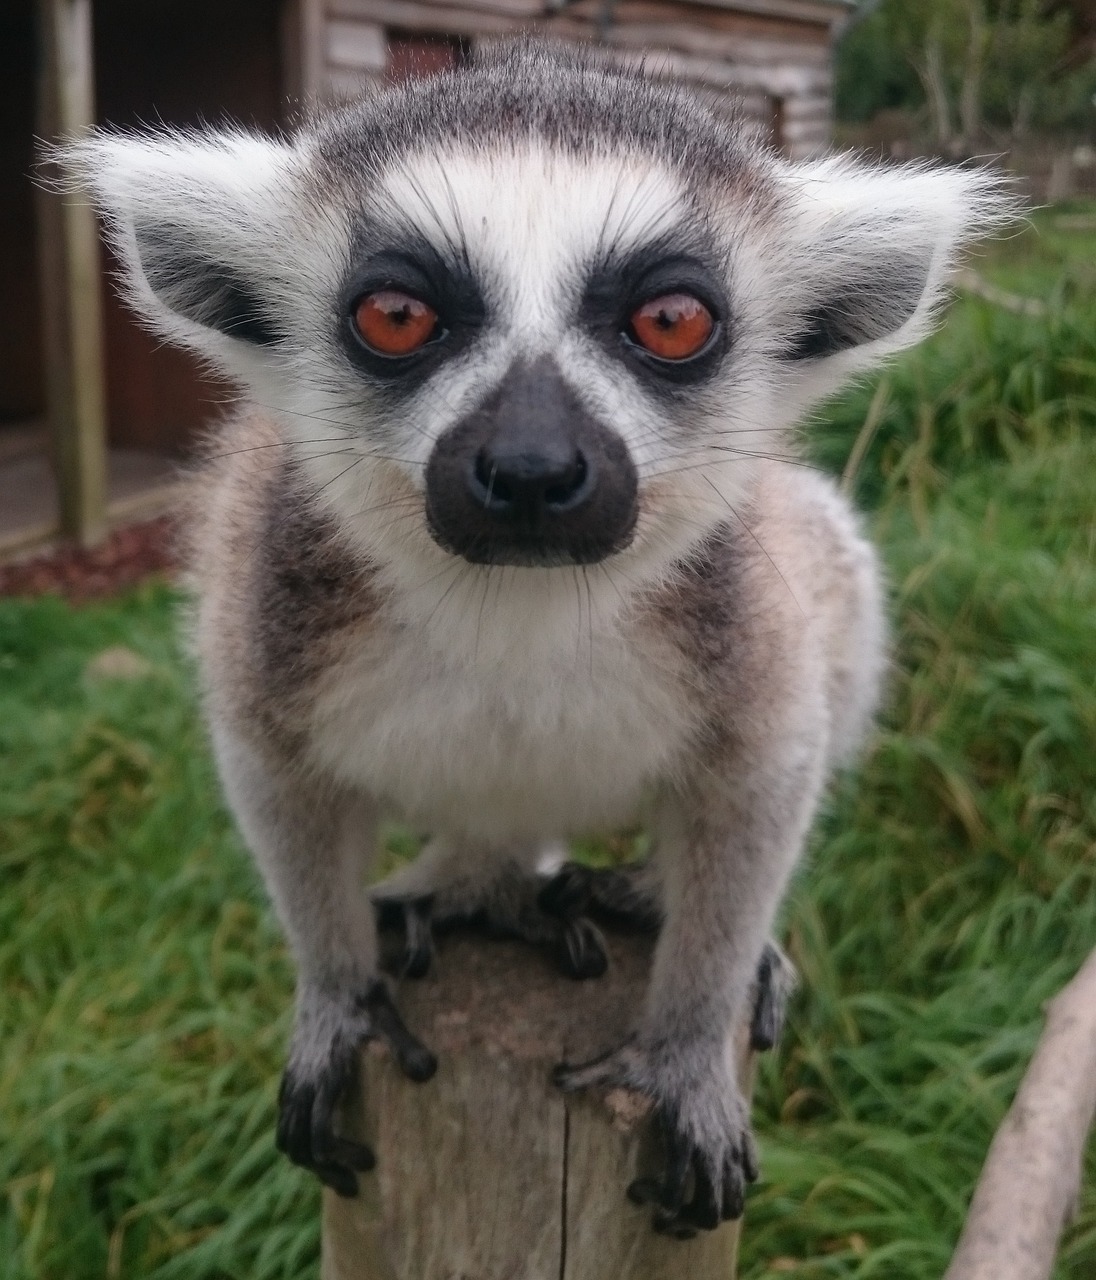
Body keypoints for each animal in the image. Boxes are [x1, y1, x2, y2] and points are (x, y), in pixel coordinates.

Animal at [63, 40, 1013, 1237]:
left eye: (669, 322)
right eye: (396, 316)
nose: (528, 466)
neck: (516, 608)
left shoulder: (740, 620)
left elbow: (766, 773)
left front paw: (685, 1051)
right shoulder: (269, 591)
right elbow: (277, 775)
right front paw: (337, 1000)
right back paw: (480, 883)